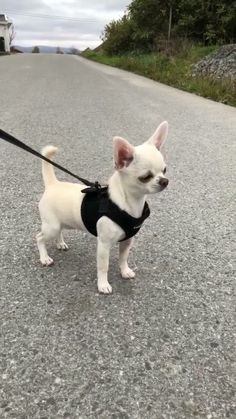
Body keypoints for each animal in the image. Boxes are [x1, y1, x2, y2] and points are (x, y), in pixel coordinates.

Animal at [36, 120, 168, 294]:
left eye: (165, 170)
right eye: (145, 177)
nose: (165, 181)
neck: (129, 204)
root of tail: (53, 184)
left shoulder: (127, 241)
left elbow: (123, 258)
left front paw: (125, 271)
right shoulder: (104, 245)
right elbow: (103, 266)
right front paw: (103, 284)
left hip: (59, 224)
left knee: (59, 232)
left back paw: (60, 243)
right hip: (51, 226)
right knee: (39, 237)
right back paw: (44, 258)